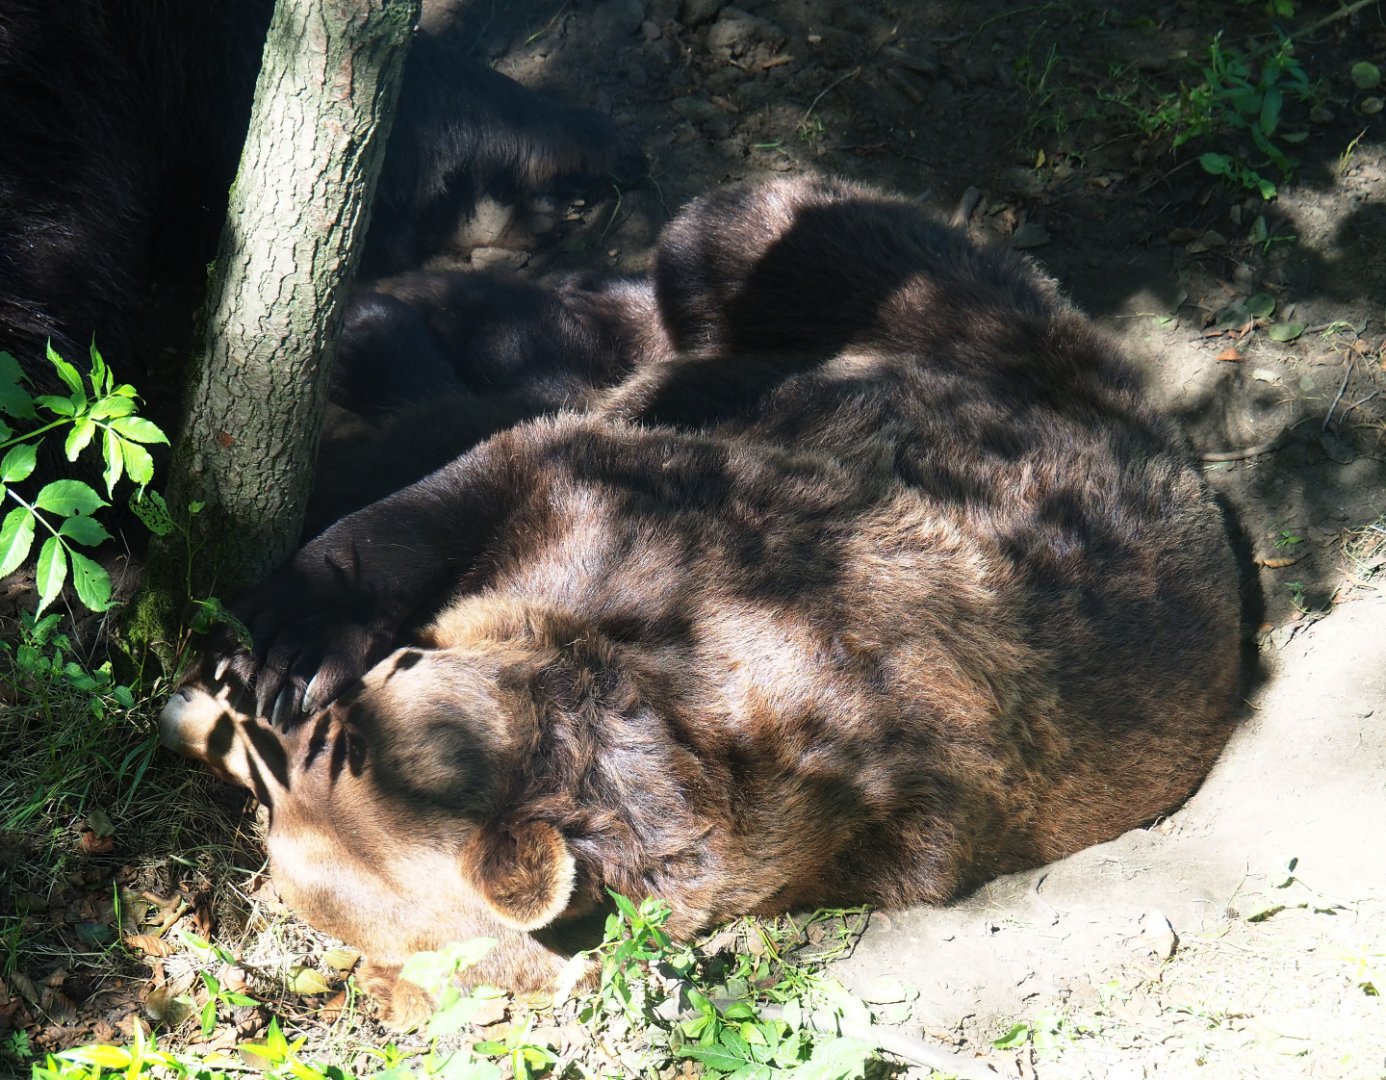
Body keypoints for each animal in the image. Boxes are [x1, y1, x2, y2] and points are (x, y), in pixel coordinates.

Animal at [161, 175, 1243, 1024]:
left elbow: (483, 446)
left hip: (945, 321)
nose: (202, 712)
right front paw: (283, 637)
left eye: (273, 786)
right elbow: (475, 476)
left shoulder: (686, 536)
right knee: (699, 257)